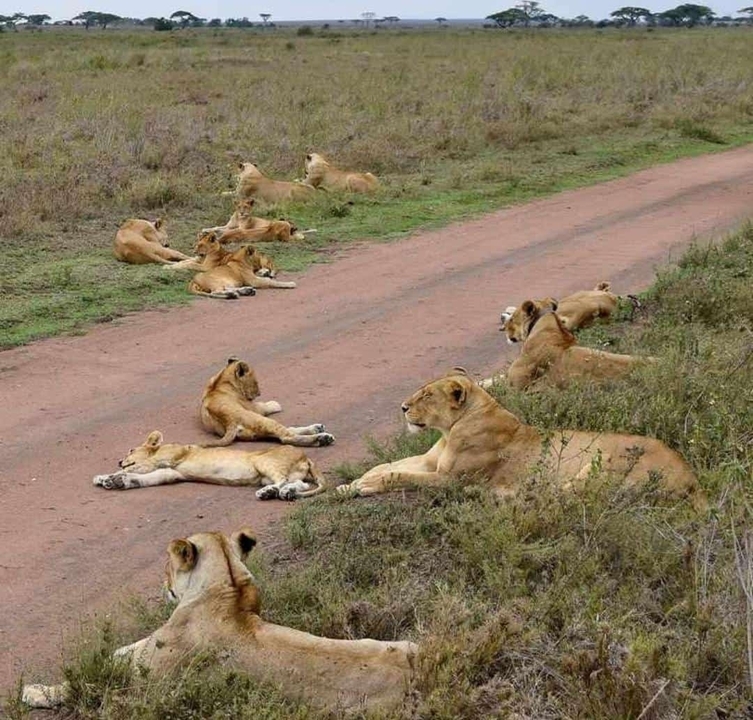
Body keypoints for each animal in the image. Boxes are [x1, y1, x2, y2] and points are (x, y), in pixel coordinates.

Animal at [22, 528, 418, 713]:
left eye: (168, 564)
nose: (163, 584)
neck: (227, 587)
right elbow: (118, 653)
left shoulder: (143, 682)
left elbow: (86, 683)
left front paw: (34, 691)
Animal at [93, 430, 326, 500]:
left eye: (130, 450)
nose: (119, 460)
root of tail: (306, 457)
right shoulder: (172, 472)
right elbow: (145, 477)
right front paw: (111, 479)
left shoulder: (173, 457)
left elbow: (142, 468)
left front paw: (112, 475)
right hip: (276, 475)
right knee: (301, 484)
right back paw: (285, 493)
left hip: (264, 461)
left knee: (282, 480)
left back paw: (268, 492)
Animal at [201, 358, 335, 447]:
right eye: (256, 382)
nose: (259, 393)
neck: (220, 381)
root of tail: (229, 422)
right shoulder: (254, 408)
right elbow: (265, 406)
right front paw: (275, 404)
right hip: (262, 420)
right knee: (287, 437)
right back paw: (322, 439)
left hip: (258, 432)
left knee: (288, 431)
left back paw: (317, 429)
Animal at [338, 369, 706, 511]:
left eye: (427, 396)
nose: (402, 408)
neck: (451, 428)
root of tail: (692, 477)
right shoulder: (431, 461)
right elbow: (387, 463)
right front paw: (351, 483)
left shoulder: (450, 478)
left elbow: (399, 474)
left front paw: (365, 486)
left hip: (601, 466)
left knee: (556, 500)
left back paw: (496, 495)